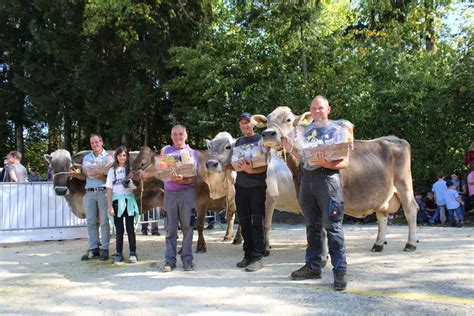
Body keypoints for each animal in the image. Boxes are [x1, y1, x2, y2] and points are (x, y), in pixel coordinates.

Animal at [254, 106, 416, 252]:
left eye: (288, 119)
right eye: (267, 120)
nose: (268, 134)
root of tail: (395, 139)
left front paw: (324, 254)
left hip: (404, 185)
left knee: (411, 210)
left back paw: (410, 244)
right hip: (383, 193)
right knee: (382, 214)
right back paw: (378, 244)